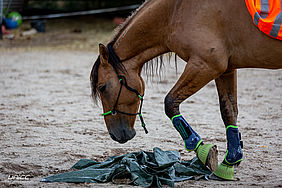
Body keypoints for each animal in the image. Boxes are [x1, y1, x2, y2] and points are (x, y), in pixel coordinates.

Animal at [91, 0, 282, 179]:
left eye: (102, 87)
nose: (115, 135)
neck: (175, 11)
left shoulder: (206, 65)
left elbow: (170, 103)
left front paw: (201, 149)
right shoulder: (226, 69)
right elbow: (228, 110)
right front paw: (230, 161)